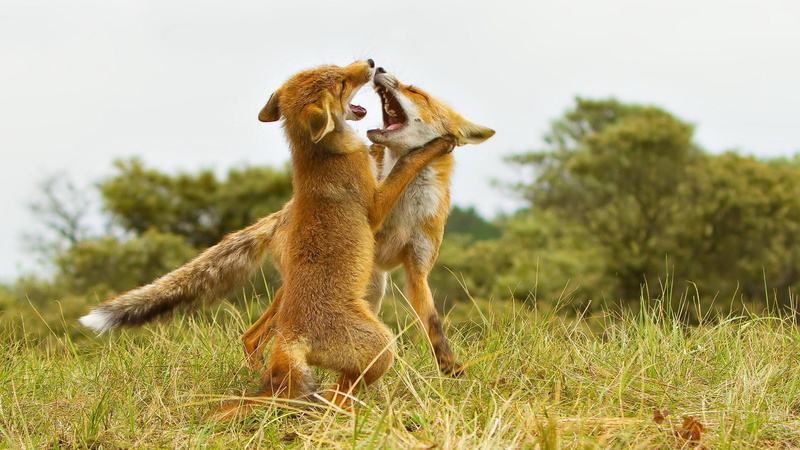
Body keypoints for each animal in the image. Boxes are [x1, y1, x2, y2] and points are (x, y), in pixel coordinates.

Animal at [80, 59, 457, 412]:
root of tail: (292, 338)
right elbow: (405, 166)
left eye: (335, 68)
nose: (370, 62)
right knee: (333, 397)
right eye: (341, 81)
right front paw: (434, 145)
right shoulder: (375, 206)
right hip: (381, 347)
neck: (318, 157)